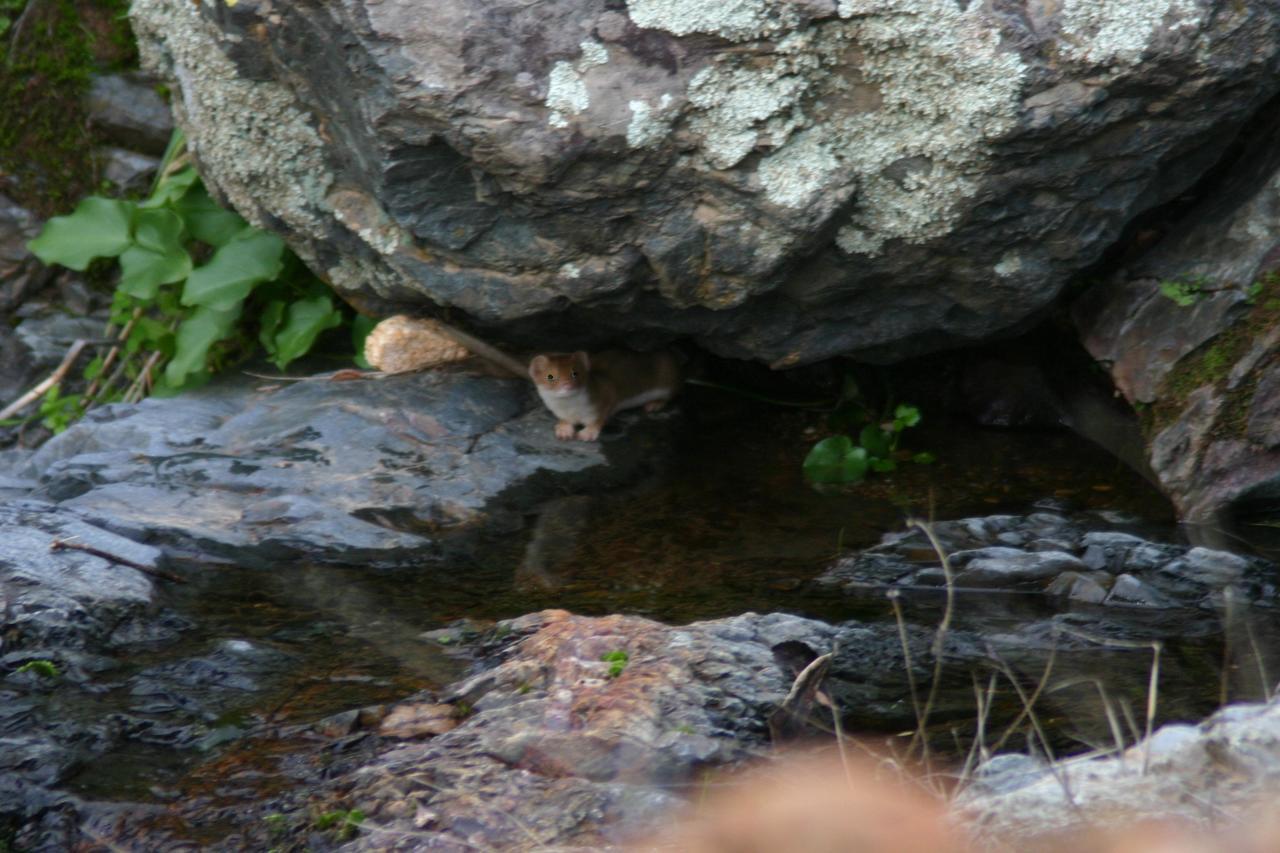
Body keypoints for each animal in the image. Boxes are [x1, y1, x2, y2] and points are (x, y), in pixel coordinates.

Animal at [527, 348, 686, 438]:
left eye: (575, 373)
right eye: (550, 376)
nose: (567, 384)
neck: (571, 408)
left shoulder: (606, 395)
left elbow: (598, 418)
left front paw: (587, 433)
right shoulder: (561, 412)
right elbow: (565, 421)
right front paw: (563, 429)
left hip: (668, 379)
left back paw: (653, 404)